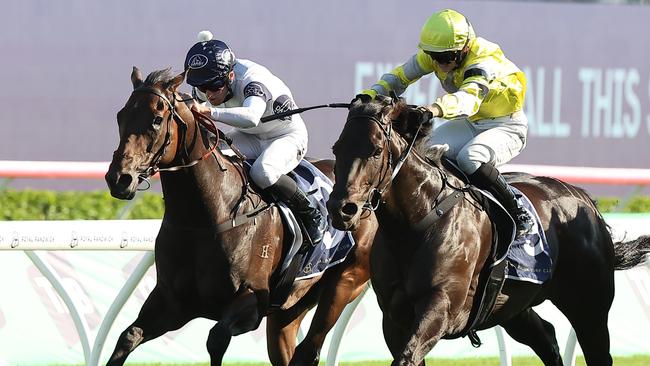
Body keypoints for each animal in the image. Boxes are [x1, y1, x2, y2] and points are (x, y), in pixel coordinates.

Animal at [101, 67, 374, 364]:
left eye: (156, 119)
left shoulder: (251, 300)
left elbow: (216, 338)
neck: (203, 219)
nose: (119, 179)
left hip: (345, 283)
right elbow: (128, 336)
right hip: (288, 310)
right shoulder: (172, 303)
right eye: (120, 116)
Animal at [326, 96, 648, 366]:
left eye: (376, 150)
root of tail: (584, 198)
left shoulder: (440, 307)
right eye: (336, 148)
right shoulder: (394, 319)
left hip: (589, 306)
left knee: (596, 351)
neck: (417, 220)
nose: (342, 208)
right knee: (546, 336)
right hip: (512, 306)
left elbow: (407, 356)